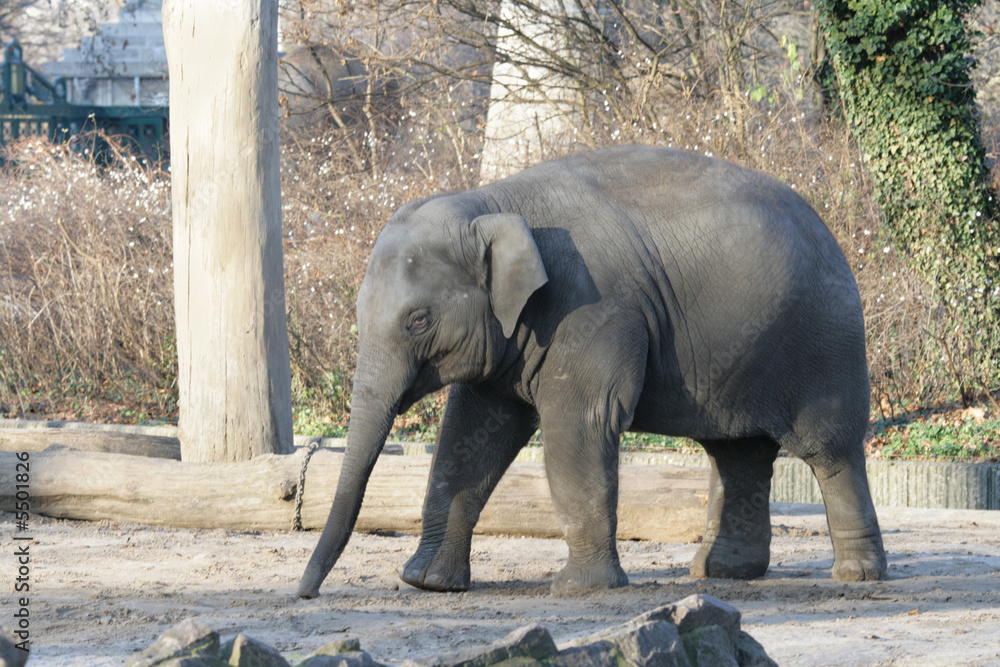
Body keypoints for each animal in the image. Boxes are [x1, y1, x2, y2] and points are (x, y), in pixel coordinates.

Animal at [292, 142, 888, 600]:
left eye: (418, 320)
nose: (305, 593)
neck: (490, 203)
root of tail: (834, 232)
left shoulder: (591, 308)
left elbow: (580, 422)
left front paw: (578, 589)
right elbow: (469, 434)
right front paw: (427, 583)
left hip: (823, 343)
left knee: (828, 449)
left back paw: (856, 576)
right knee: (738, 453)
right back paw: (721, 574)